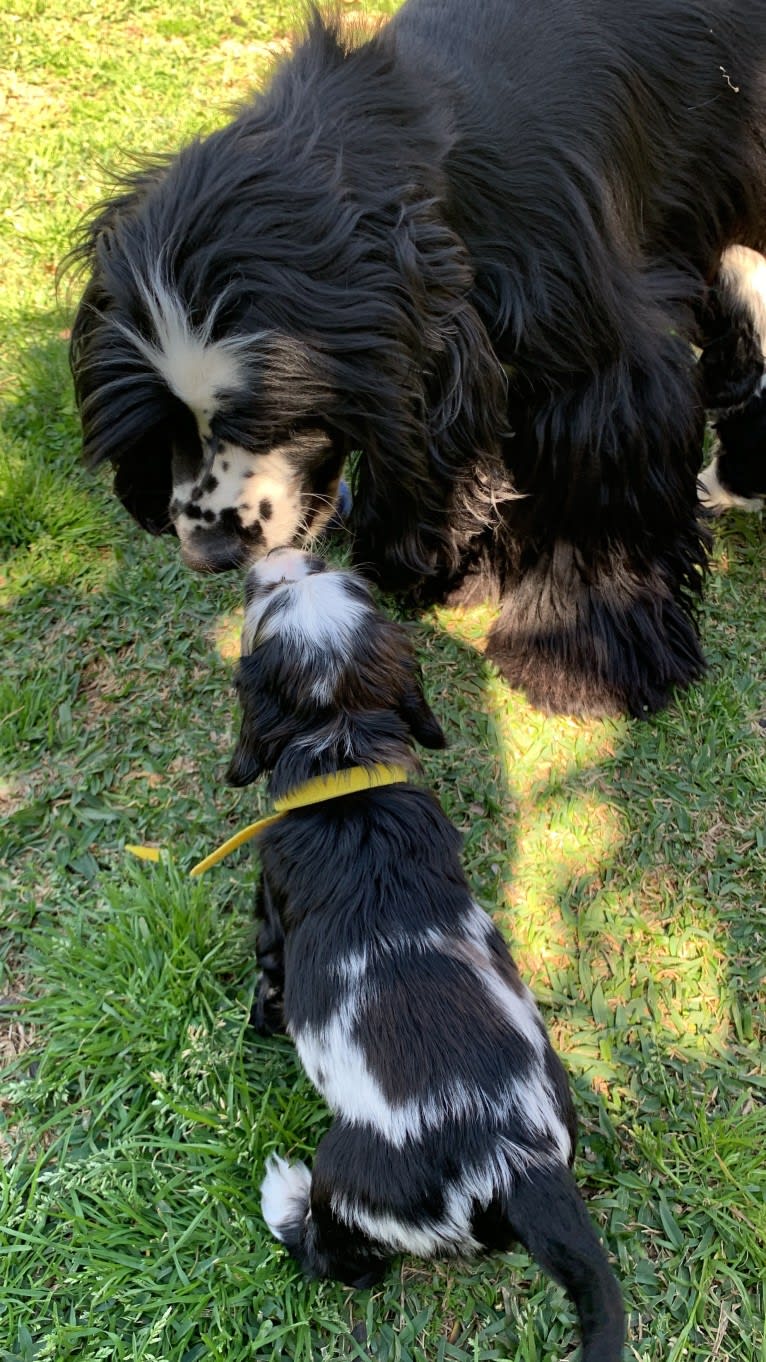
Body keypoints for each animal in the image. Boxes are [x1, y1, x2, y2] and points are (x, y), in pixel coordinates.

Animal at [68, 0, 757, 719]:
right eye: (165, 423)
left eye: (271, 421)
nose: (209, 553)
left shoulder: (602, 364)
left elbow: (595, 489)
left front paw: (574, 663)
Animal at [228, 544, 624, 1362]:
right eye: (342, 579)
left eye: (270, 600)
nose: (282, 554)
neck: (342, 750)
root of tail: (518, 1167)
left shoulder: (270, 921)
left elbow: (265, 985)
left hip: (349, 1176)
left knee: (341, 1260)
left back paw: (284, 1198)